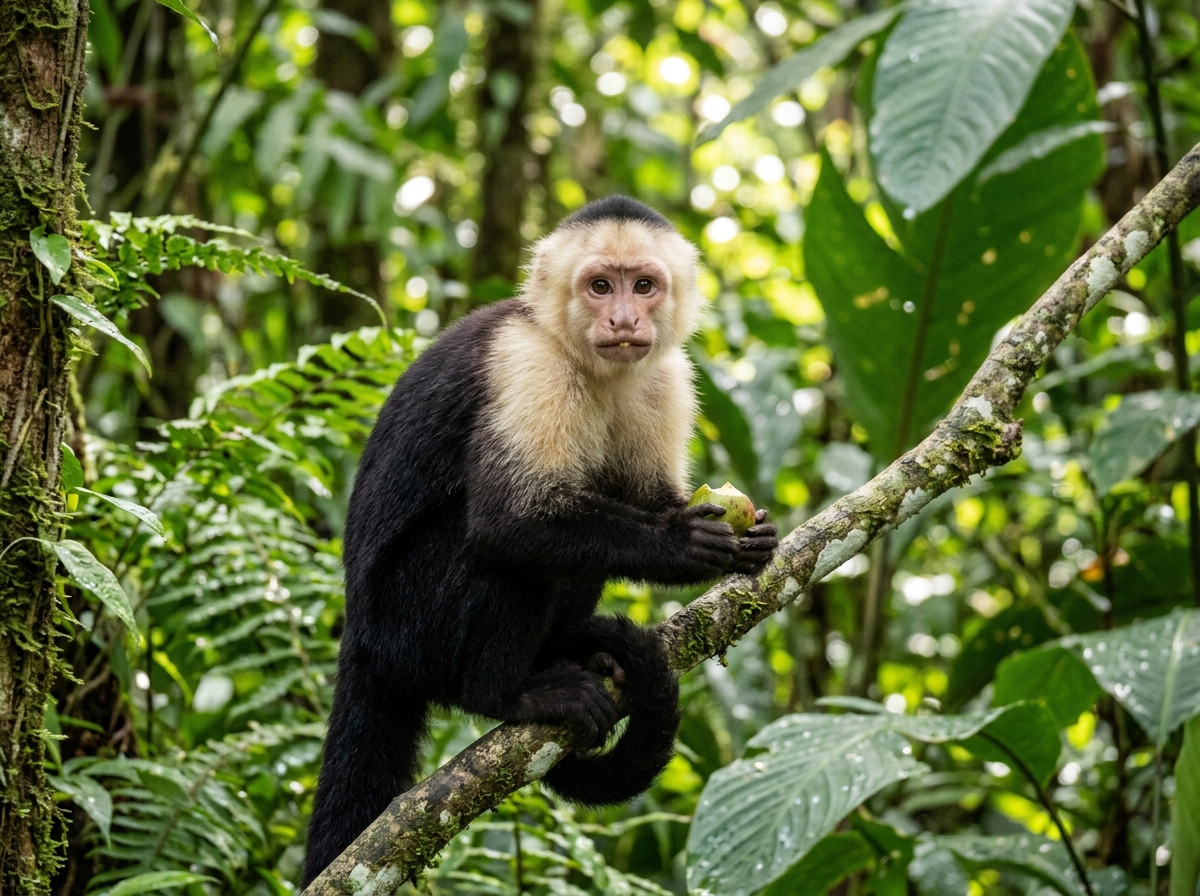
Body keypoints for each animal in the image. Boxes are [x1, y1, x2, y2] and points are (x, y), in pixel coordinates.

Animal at [301, 195, 779, 886]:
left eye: (644, 286)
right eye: (600, 286)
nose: (624, 318)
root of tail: (361, 636)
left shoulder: (665, 378)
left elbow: (646, 492)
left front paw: (750, 536)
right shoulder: (526, 363)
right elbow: (509, 522)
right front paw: (683, 544)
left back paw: (573, 648)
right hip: (406, 623)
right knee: (494, 558)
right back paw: (507, 692)